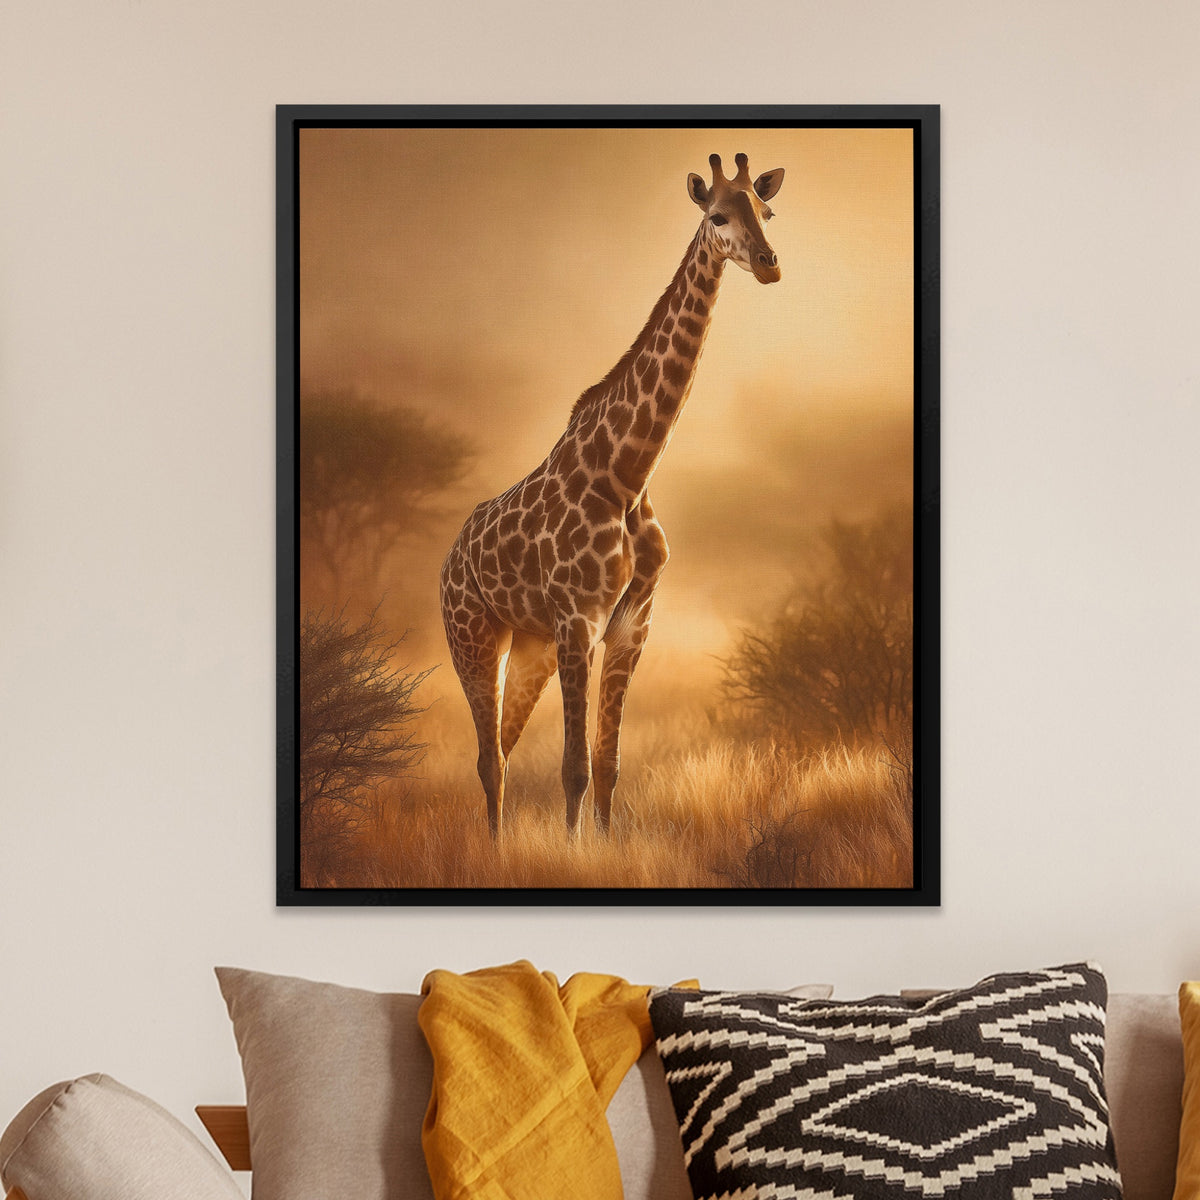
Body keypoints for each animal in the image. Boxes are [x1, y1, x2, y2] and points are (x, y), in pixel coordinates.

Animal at [440, 152, 784, 840]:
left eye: (767, 210)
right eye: (717, 215)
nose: (768, 263)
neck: (627, 473)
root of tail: (447, 561)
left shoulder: (631, 626)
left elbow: (608, 765)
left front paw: (601, 844)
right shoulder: (579, 621)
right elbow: (573, 766)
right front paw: (572, 851)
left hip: (531, 647)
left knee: (504, 750)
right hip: (474, 638)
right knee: (490, 760)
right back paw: (493, 852)